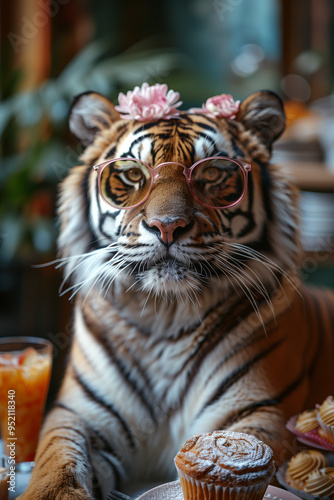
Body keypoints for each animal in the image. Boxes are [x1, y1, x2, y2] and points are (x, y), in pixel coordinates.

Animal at [20, 88, 334, 498]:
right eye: (132, 174)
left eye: (211, 173)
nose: (167, 226)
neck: (163, 314)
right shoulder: (77, 413)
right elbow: (56, 461)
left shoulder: (258, 410)